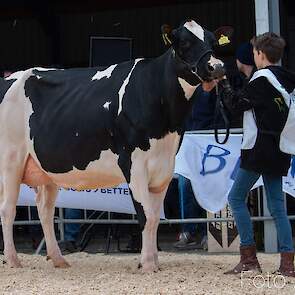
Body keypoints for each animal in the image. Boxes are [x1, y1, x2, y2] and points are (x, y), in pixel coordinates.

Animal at [0, 18, 231, 272]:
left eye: (213, 42)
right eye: (185, 43)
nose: (217, 67)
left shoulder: (164, 168)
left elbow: (154, 217)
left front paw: (152, 261)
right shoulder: (134, 164)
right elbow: (147, 216)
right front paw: (147, 264)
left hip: (46, 168)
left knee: (45, 210)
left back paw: (58, 259)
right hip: (10, 160)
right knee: (8, 209)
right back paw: (13, 259)